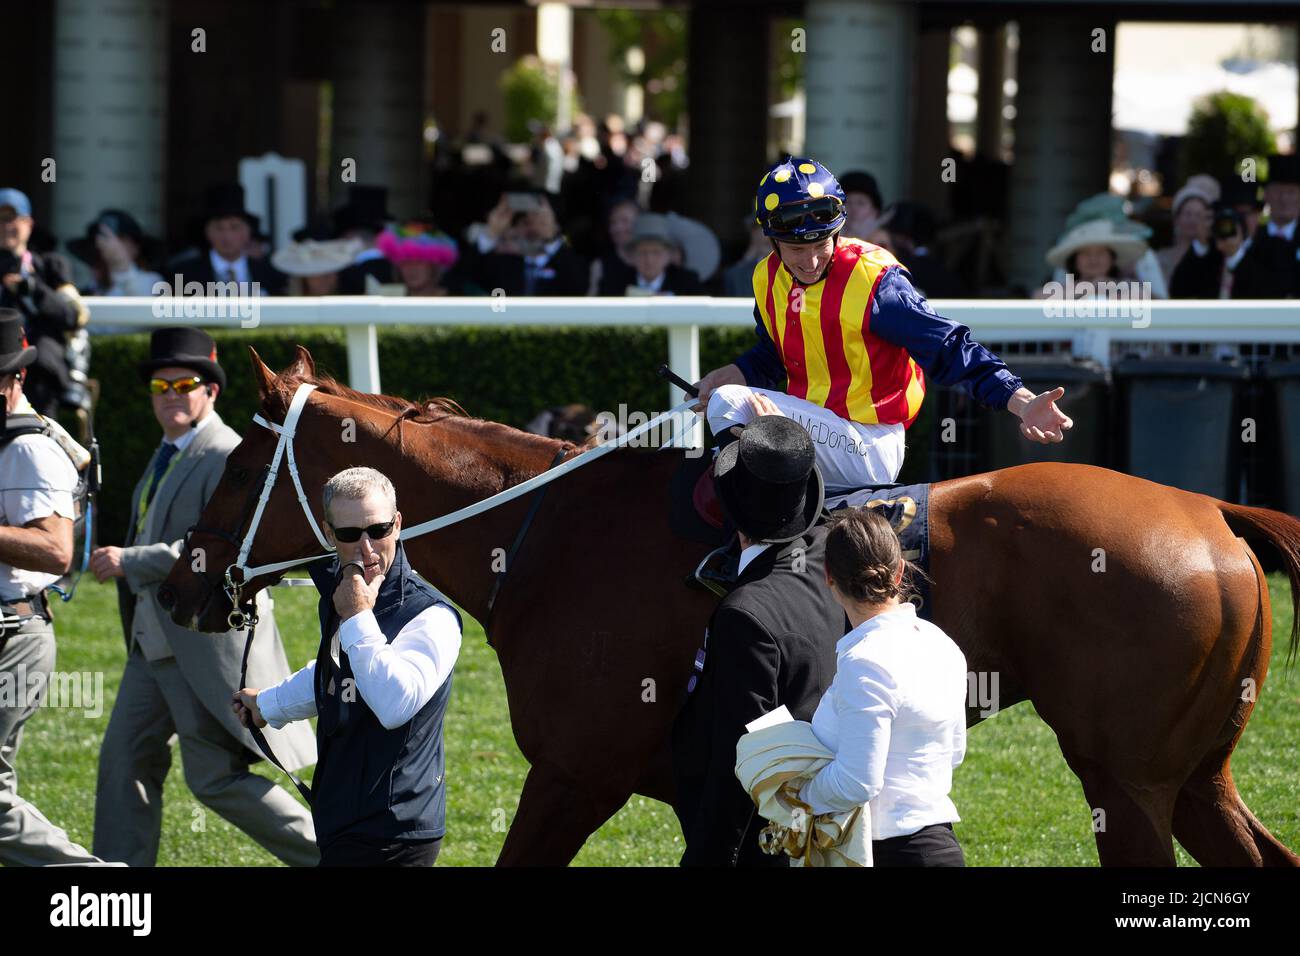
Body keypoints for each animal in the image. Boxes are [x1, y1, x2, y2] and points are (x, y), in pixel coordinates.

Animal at [158, 346, 1300, 867]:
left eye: (242, 463)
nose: (178, 580)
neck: (540, 531)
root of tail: (1211, 509)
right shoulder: (689, 791)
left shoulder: (575, 773)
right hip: (1195, 775)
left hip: (1128, 783)